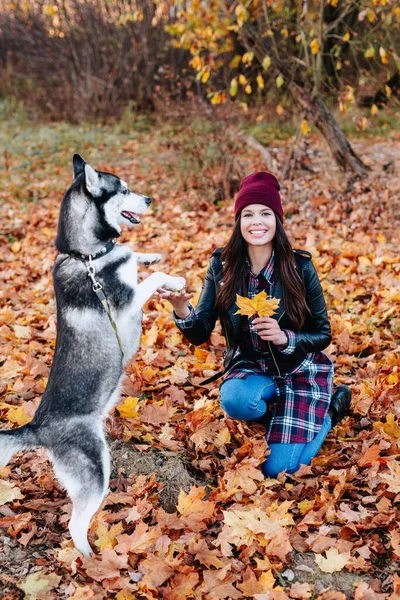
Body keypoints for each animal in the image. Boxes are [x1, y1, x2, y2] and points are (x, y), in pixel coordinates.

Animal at [0, 154, 184, 552]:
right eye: (125, 189)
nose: (149, 199)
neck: (85, 254)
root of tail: (37, 427)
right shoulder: (127, 302)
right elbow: (155, 277)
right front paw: (174, 278)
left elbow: (135, 255)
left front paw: (151, 254)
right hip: (96, 468)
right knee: (75, 526)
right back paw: (92, 559)